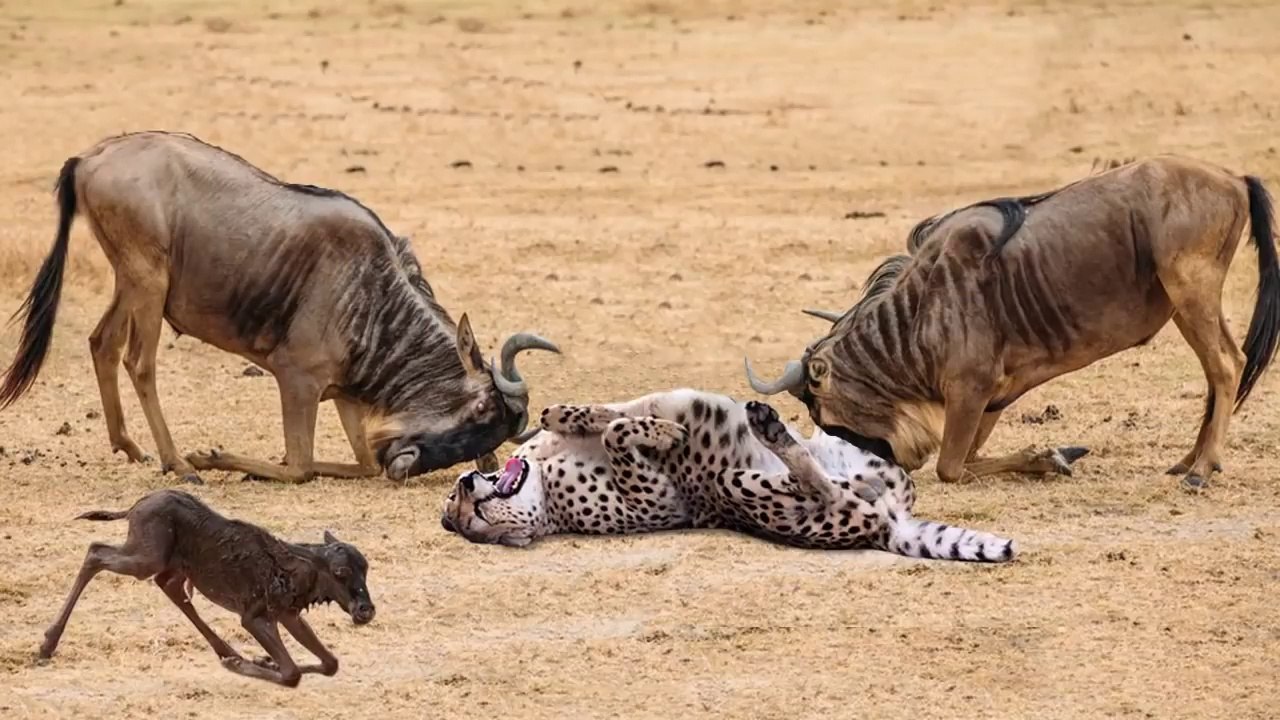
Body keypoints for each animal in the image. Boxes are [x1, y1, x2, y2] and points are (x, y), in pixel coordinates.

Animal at [441, 389, 1017, 562]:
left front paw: (577, 416)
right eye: (470, 520)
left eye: (454, 505)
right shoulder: (657, 498)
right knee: (822, 491)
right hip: (748, 492)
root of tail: (888, 525)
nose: (466, 487)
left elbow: (598, 415)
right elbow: (622, 433)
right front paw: (668, 435)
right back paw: (768, 432)